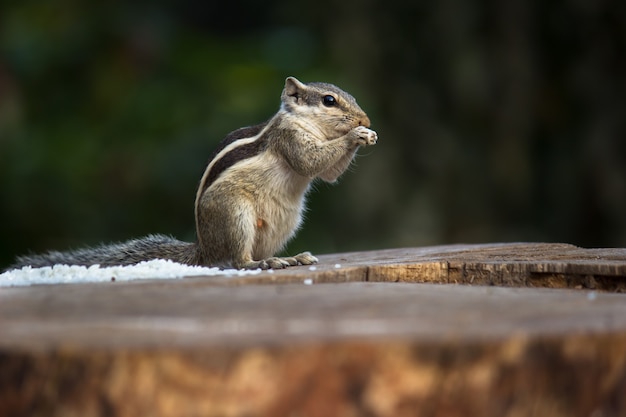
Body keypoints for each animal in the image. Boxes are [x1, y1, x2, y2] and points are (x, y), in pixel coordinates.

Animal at [7, 77, 378, 272]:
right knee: (236, 260)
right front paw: (355, 135)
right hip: (234, 214)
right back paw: (261, 264)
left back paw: (289, 258)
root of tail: (204, 249)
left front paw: (366, 135)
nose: (367, 119)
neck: (307, 123)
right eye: (329, 101)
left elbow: (328, 173)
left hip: (282, 224)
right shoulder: (288, 138)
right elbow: (309, 161)